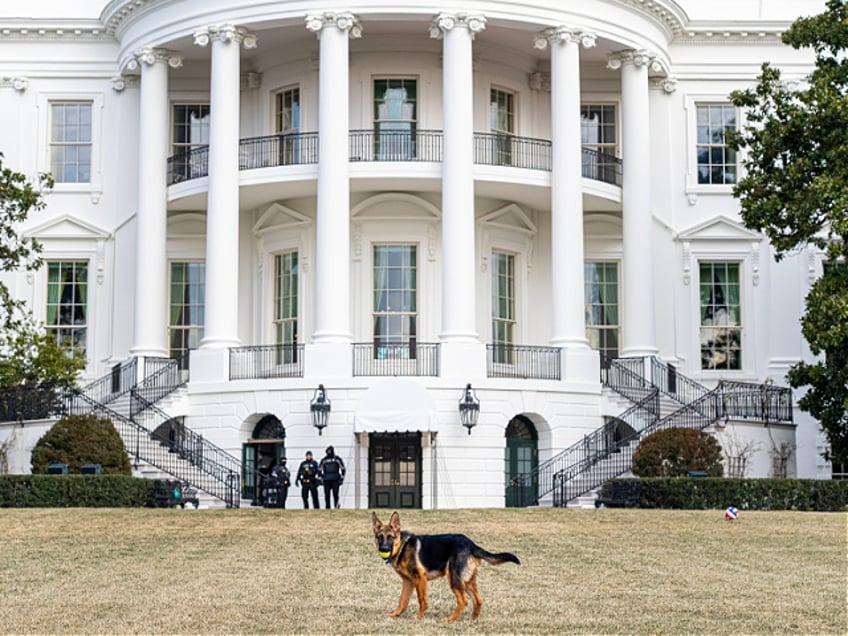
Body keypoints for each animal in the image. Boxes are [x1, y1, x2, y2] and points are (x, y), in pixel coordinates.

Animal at [370, 512, 516, 620]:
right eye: (379, 537)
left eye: (391, 537)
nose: (383, 549)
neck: (402, 546)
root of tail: (472, 545)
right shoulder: (408, 582)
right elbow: (402, 600)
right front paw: (395, 614)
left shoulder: (420, 578)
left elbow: (422, 599)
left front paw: (419, 617)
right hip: (467, 582)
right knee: (478, 600)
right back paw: (472, 619)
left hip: (454, 579)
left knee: (463, 601)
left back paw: (450, 619)